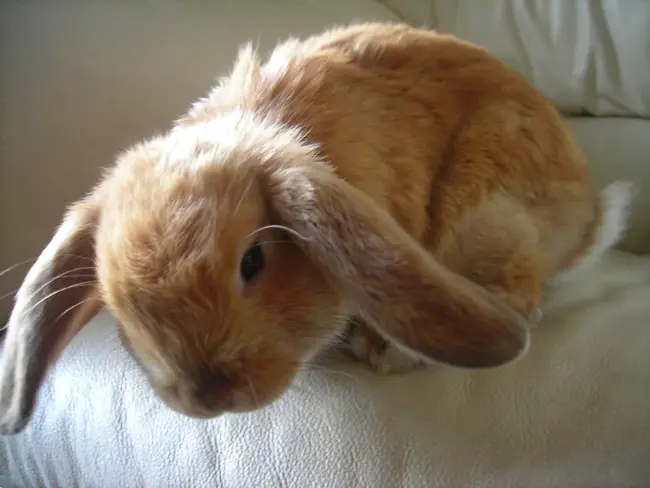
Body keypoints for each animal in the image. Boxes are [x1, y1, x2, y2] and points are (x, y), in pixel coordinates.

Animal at [0, 22, 632, 435]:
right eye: (116, 302)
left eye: (253, 261)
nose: (209, 396)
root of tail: (588, 215)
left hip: (483, 200)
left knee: (521, 292)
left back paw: (393, 349)